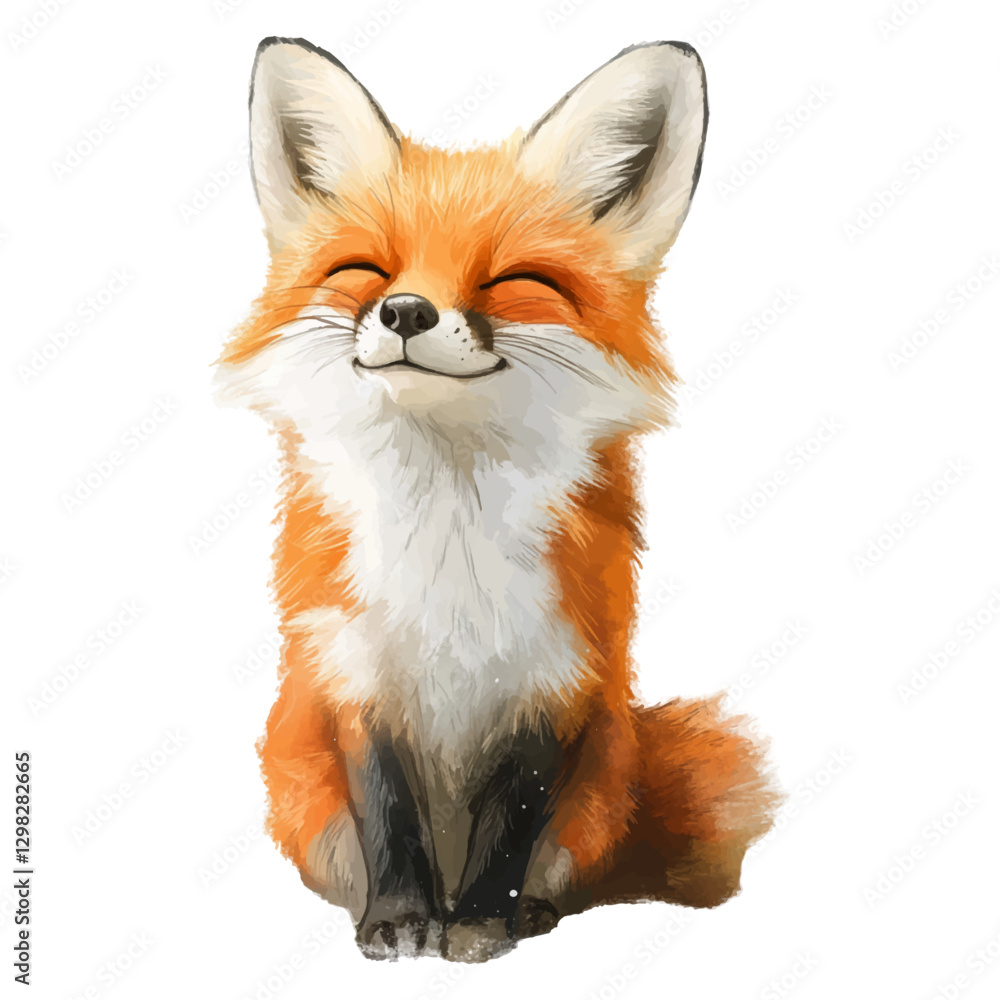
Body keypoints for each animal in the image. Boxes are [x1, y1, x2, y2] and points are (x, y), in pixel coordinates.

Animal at [216, 36, 778, 962]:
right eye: (367, 269)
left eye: (514, 279)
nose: (406, 310)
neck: (448, 539)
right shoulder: (354, 671)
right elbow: (389, 817)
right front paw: (398, 923)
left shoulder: (555, 678)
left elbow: (514, 821)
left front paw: (480, 923)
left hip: (602, 784)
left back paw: (535, 911)